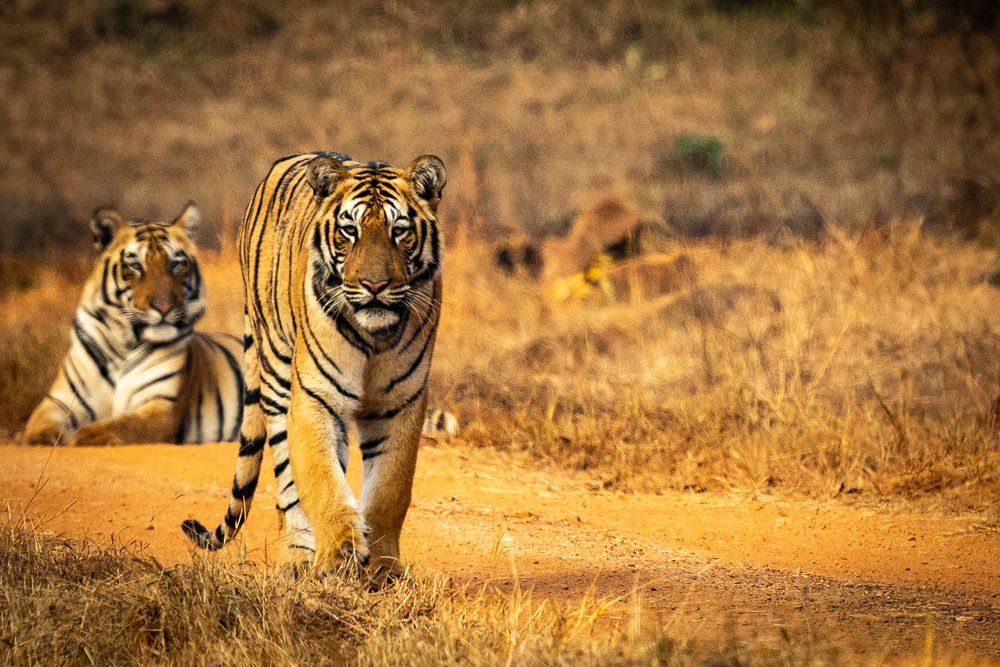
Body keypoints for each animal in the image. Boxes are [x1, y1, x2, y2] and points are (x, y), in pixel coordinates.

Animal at [21, 203, 244, 446]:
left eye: (176, 265)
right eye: (136, 266)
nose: (164, 307)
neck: (124, 344)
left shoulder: (161, 406)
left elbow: (123, 423)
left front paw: (85, 434)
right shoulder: (59, 400)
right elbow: (40, 422)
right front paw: (43, 438)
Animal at [182, 151, 446, 581]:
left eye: (399, 231)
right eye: (350, 231)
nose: (374, 285)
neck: (373, 336)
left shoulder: (401, 403)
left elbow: (390, 488)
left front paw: (383, 568)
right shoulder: (315, 398)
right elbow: (322, 481)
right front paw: (340, 553)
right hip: (276, 377)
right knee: (288, 479)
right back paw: (298, 556)